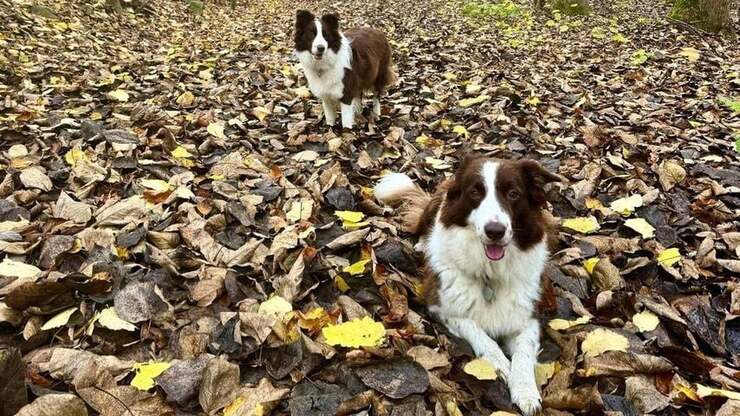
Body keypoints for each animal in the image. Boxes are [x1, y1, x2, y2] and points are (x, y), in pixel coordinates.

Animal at [376, 157, 560, 416]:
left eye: (513, 194)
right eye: (475, 192)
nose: (495, 231)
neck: (490, 275)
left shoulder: (528, 317)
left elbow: (523, 354)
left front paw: (525, 391)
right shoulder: (442, 308)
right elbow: (481, 335)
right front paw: (500, 364)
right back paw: (423, 244)